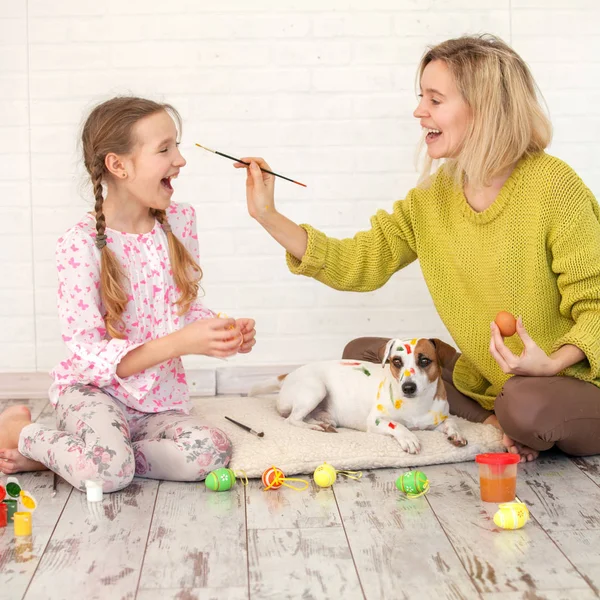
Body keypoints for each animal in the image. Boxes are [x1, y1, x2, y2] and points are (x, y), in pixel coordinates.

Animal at [251, 338, 466, 454]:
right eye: (396, 361)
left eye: (424, 360)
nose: (408, 387)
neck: (416, 405)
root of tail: (289, 375)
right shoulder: (376, 421)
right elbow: (397, 425)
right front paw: (409, 438)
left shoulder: (436, 420)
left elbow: (451, 421)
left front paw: (456, 433)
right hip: (316, 389)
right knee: (292, 419)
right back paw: (315, 427)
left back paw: (323, 422)